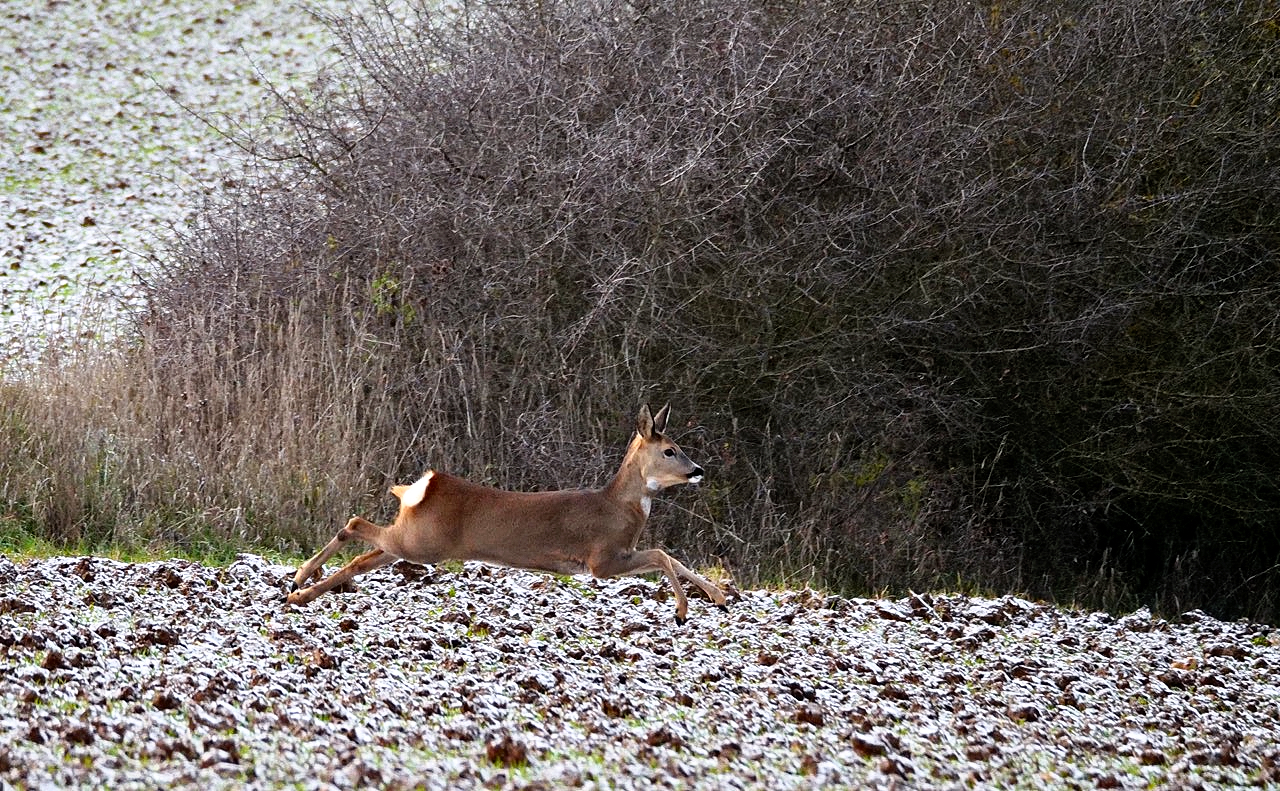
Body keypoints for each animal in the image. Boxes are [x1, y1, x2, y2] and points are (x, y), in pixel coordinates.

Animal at [291, 407, 732, 622]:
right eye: (671, 450)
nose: (698, 470)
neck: (618, 506)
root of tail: (427, 484)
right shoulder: (601, 560)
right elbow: (662, 554)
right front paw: (682, 611)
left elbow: (670, 556)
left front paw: (720, 597)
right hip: (424, 544)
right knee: (355, 524)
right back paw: (298, 578)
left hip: (413, 539)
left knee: (363, 555)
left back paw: (300, 591)